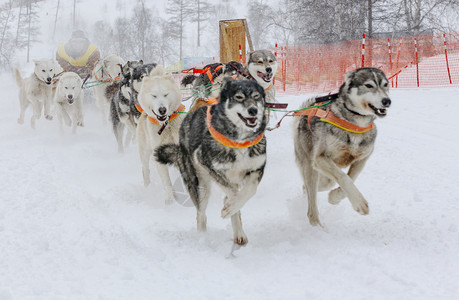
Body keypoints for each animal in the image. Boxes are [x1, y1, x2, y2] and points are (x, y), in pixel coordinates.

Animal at [137, 65, 185, 205]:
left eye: (165, 94)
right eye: (154, 96)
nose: (162, 109)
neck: (166, 125)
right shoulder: (158, 155)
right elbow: (166, 182)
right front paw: (169, 200)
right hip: (145, 151)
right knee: (145, 169)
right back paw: (147, 187)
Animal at [156, 78, 268, 245]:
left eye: (256, 96)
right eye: (239, 97)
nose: (253, 110)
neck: (239, 141)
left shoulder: (256, 169)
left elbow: (250, 190)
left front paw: (231, 206)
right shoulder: (207, 164)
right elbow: (233, 193)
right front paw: (229, 206)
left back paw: (238, 233)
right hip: (200, 185)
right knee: (200, 214)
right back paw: (203, 237)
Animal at [294, 67, 392, 225]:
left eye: (385, 85)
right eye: (369, 85)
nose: (387, 101)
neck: (355, 125)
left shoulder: (362, 159)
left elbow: (351, 178)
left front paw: (334, 197)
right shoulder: (320, 158)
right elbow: (344, 178)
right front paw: (359, 203)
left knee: (319, 185)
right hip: (310, 167)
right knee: (312, 205)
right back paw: (316, 225)